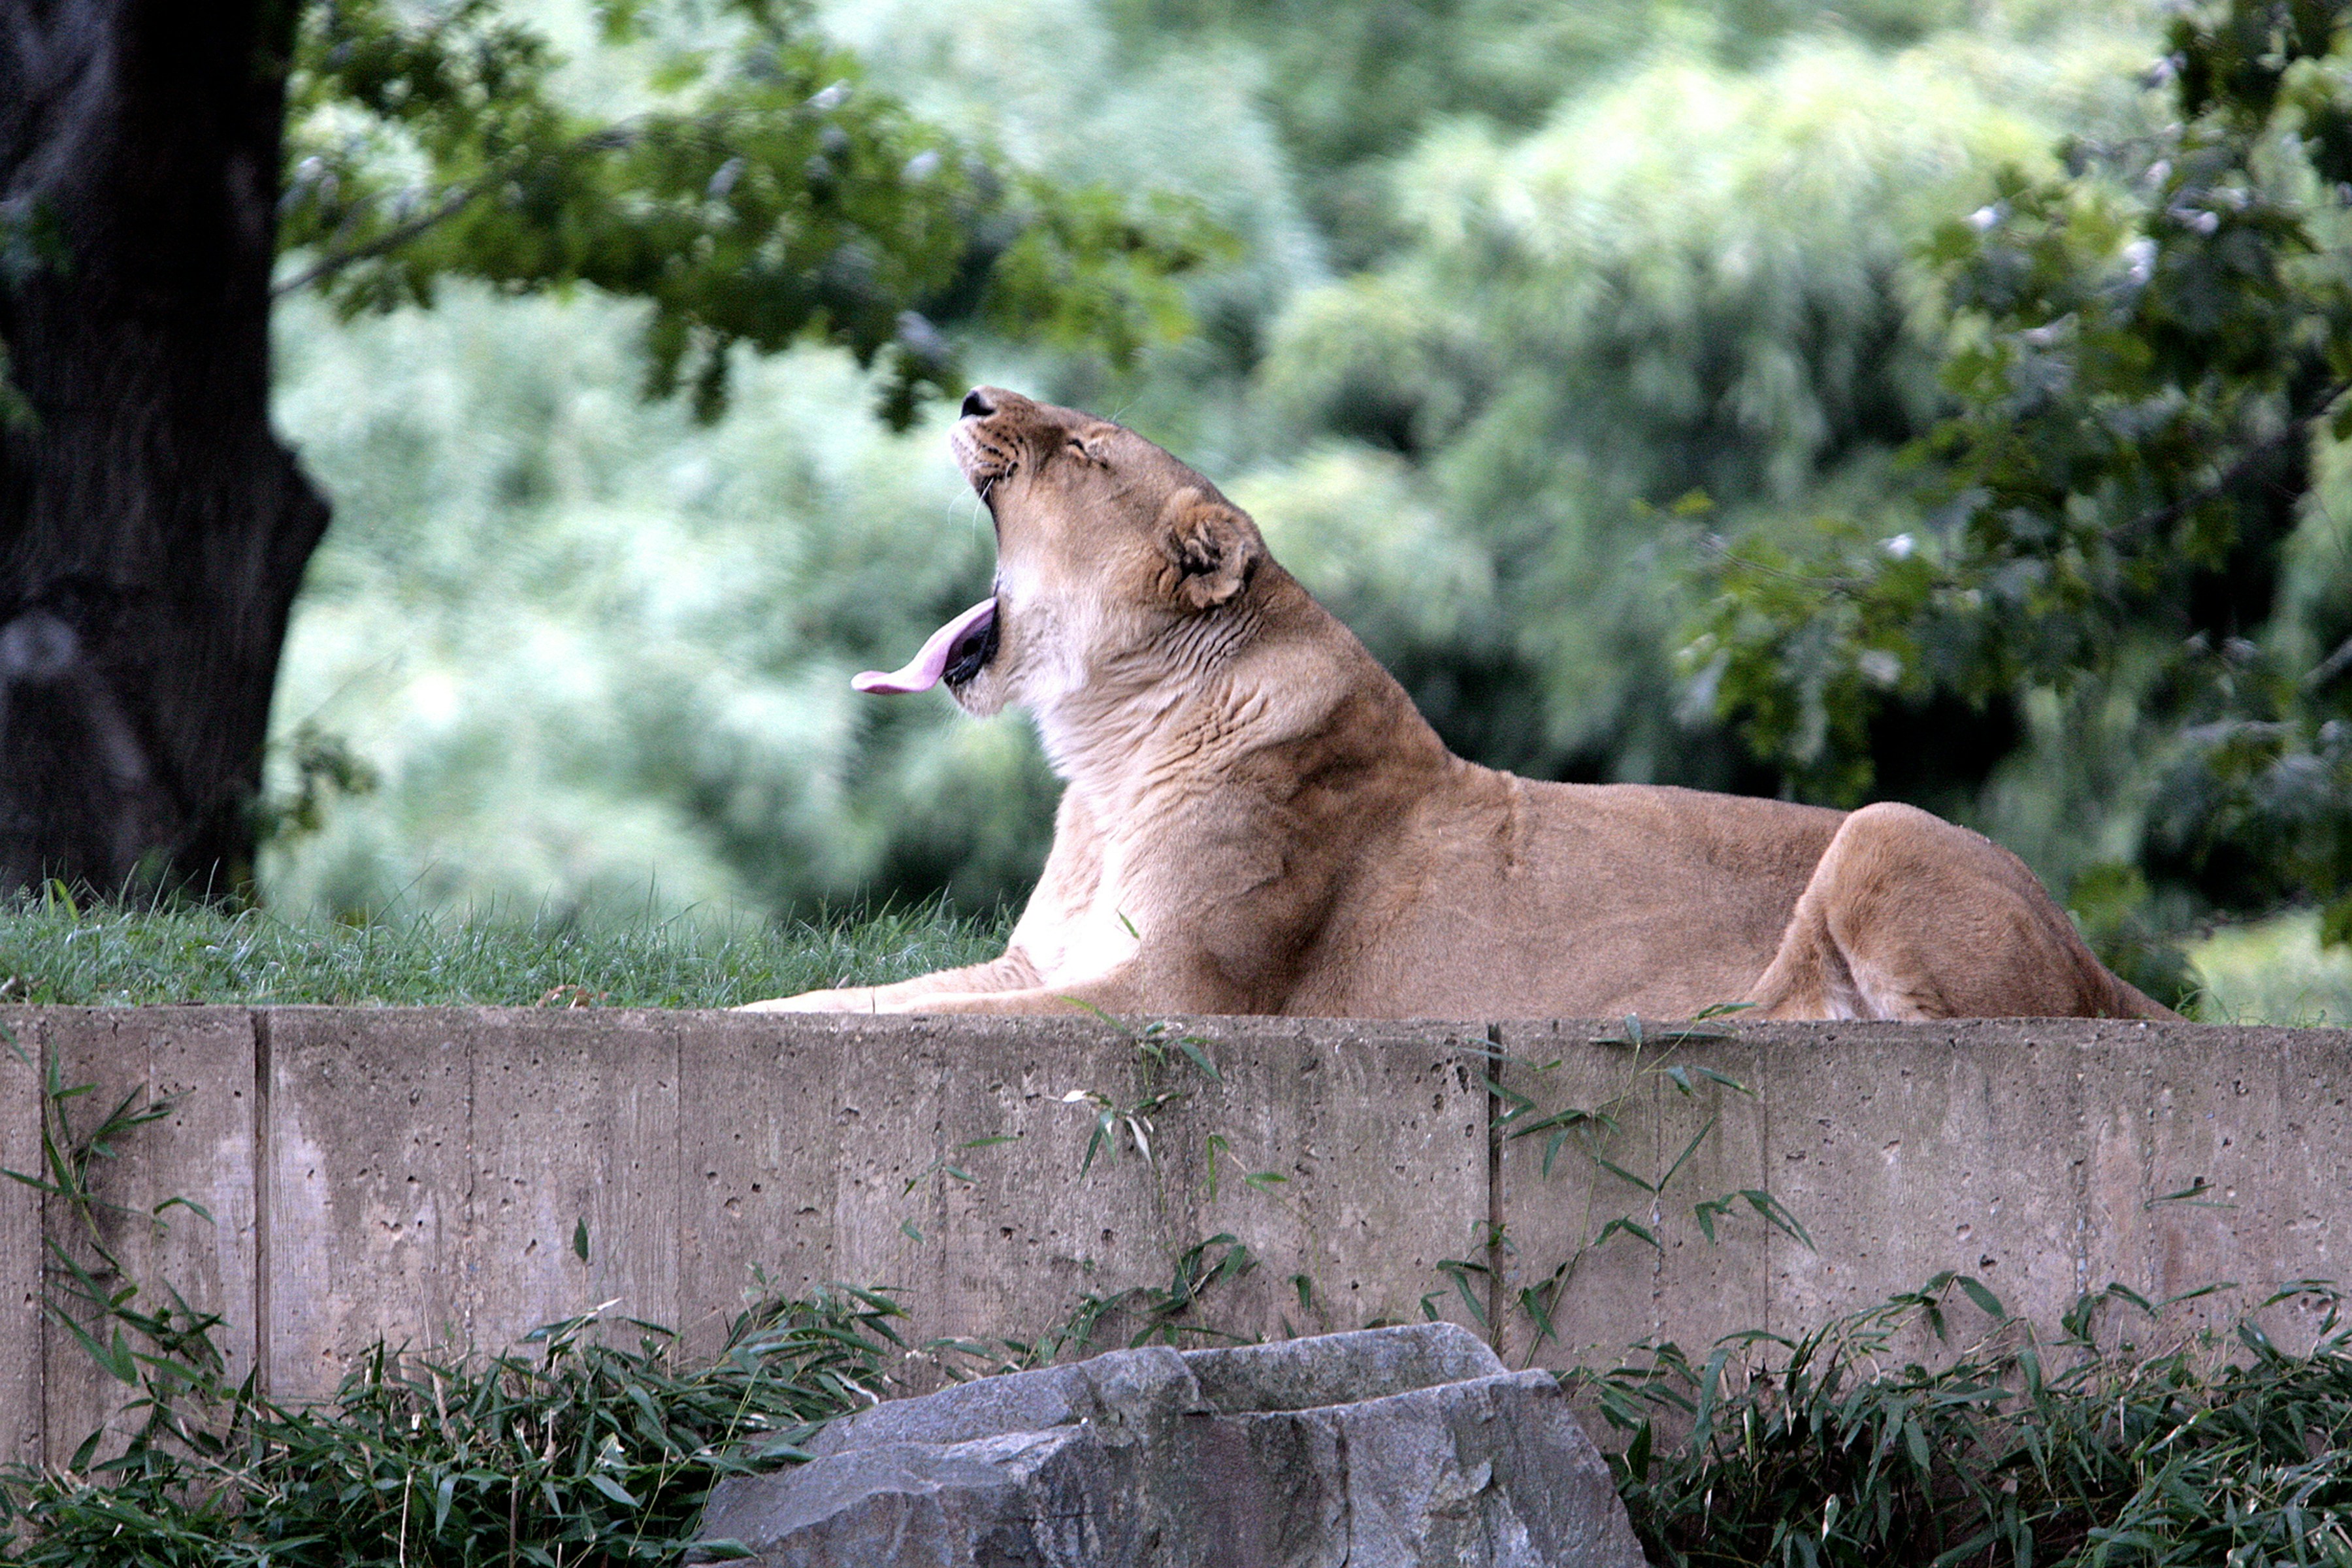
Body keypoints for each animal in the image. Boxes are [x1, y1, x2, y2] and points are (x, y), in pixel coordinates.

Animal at [744, 387, 2179, 1022]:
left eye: (1085, 448)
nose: (977, 394)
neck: (1103, 758)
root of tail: (2097, 959)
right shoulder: (1042, 960)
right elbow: (844, 1007)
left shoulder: (1181, 993)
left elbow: (953, 1023)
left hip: (1886, 831)